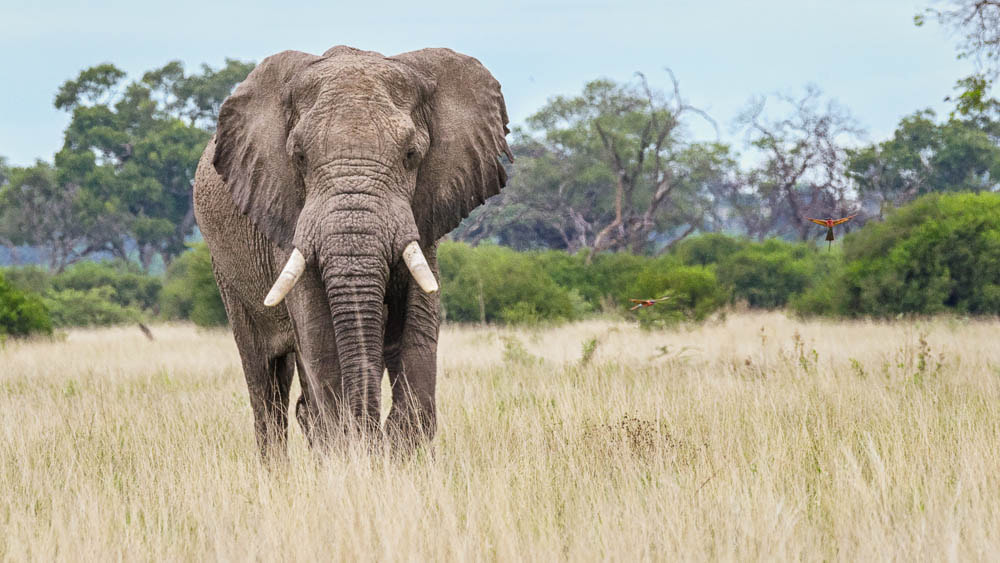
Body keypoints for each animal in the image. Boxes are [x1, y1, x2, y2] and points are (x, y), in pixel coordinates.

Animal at [193, 45, 512, 459]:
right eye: (299, 157)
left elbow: (419, 323)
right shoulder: (287, 217)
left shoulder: (422, 216)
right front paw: (354, 450)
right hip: (226, 271)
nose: (370, 435)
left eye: (411, 155)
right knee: (265, 380)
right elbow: (317, 329)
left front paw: (393, 449)